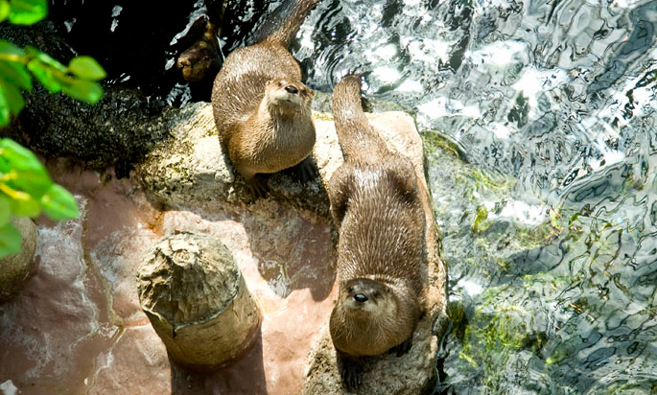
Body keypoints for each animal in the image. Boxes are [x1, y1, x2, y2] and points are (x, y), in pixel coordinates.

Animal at [211, 0, 320, 196]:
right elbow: (245, 173)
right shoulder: (238, 153)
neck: (281, 155)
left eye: (303, 90)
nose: (291, 88)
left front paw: (305, 165)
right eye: (279, 83)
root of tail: (268, 43)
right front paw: (255, 185)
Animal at [326, 76, 426, 392]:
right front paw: (350, 371)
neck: (370, 343)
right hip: (338, 184)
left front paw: (405, 343)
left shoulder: (412, 304)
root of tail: (369, 159)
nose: (360, 296)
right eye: (349, 289)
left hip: (402, 169)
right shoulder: (335, 331)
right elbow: (342, 352)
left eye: (375, 293)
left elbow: (418, 317)